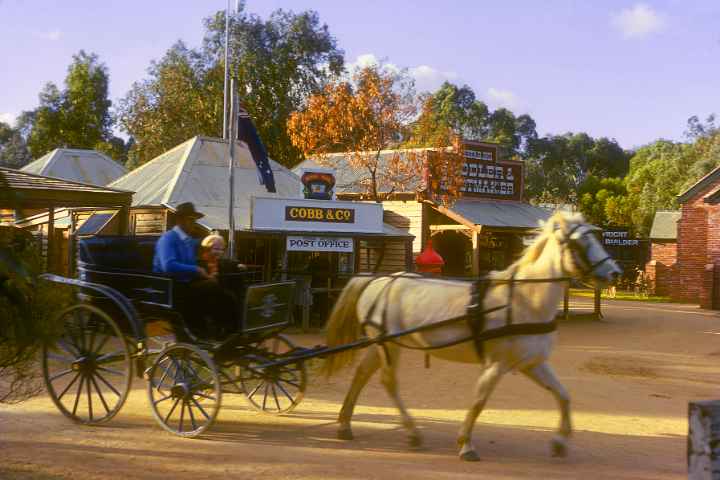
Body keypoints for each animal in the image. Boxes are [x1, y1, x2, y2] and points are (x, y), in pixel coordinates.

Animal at [324, 213, 620, 462]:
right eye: (581, 242)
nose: (615, 272)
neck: (523, 300)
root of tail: (378, 281)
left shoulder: (533, 363)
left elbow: (563, 395)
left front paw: (560, 441)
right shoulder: (495, 365)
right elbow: (479, 402)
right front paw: (466, 444)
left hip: (382, 344)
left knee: (362, 374)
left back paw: (345, 425)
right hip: (389, 345)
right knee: (388, 382)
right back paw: (412, 432)